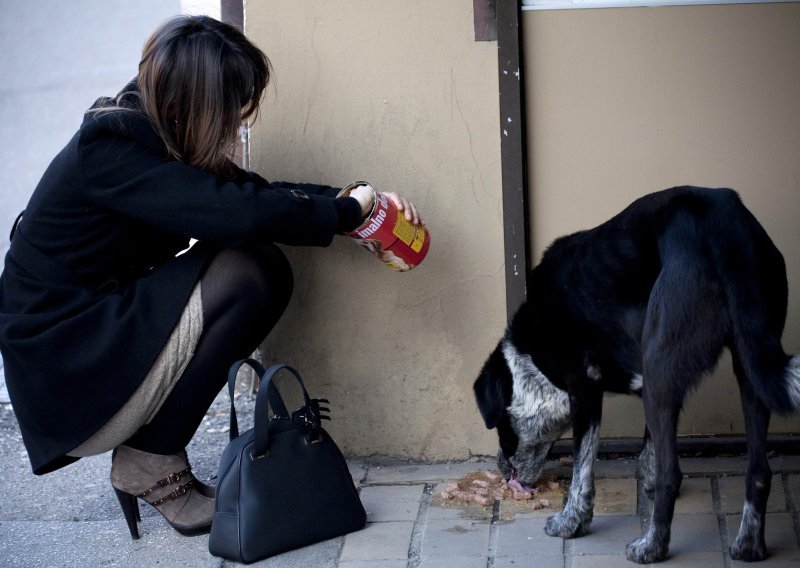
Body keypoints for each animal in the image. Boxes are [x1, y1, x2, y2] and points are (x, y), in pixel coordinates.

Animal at [472, 187, 796, 564]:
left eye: (500, 426)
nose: (502, 471)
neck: (533, 346)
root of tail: (723, 221)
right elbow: (647, 448)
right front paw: (646, 480)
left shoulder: (584, 388)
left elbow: (582, 469)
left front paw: (572, 522)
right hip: (750, 368)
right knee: (758, 471)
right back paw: (748, 544)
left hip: (661, 366)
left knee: (673, 474)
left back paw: (651, 546)